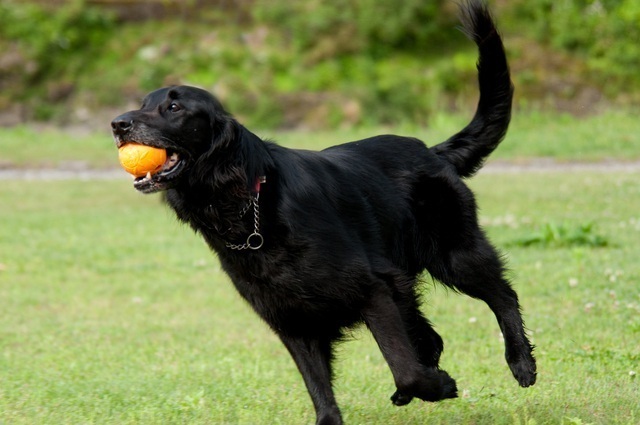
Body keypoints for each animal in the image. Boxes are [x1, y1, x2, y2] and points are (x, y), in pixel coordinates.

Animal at [114, 1, 536, 422]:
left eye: (173, 106)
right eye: (143, 104)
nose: (118, 123)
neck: (252, 211)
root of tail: (432, 151)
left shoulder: (372, 289)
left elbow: (405, 368)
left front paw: (440, 386)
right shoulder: (293, 319)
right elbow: (322, 390)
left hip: (455, 254)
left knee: (503, 295)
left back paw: (521, 363)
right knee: (432, 337)